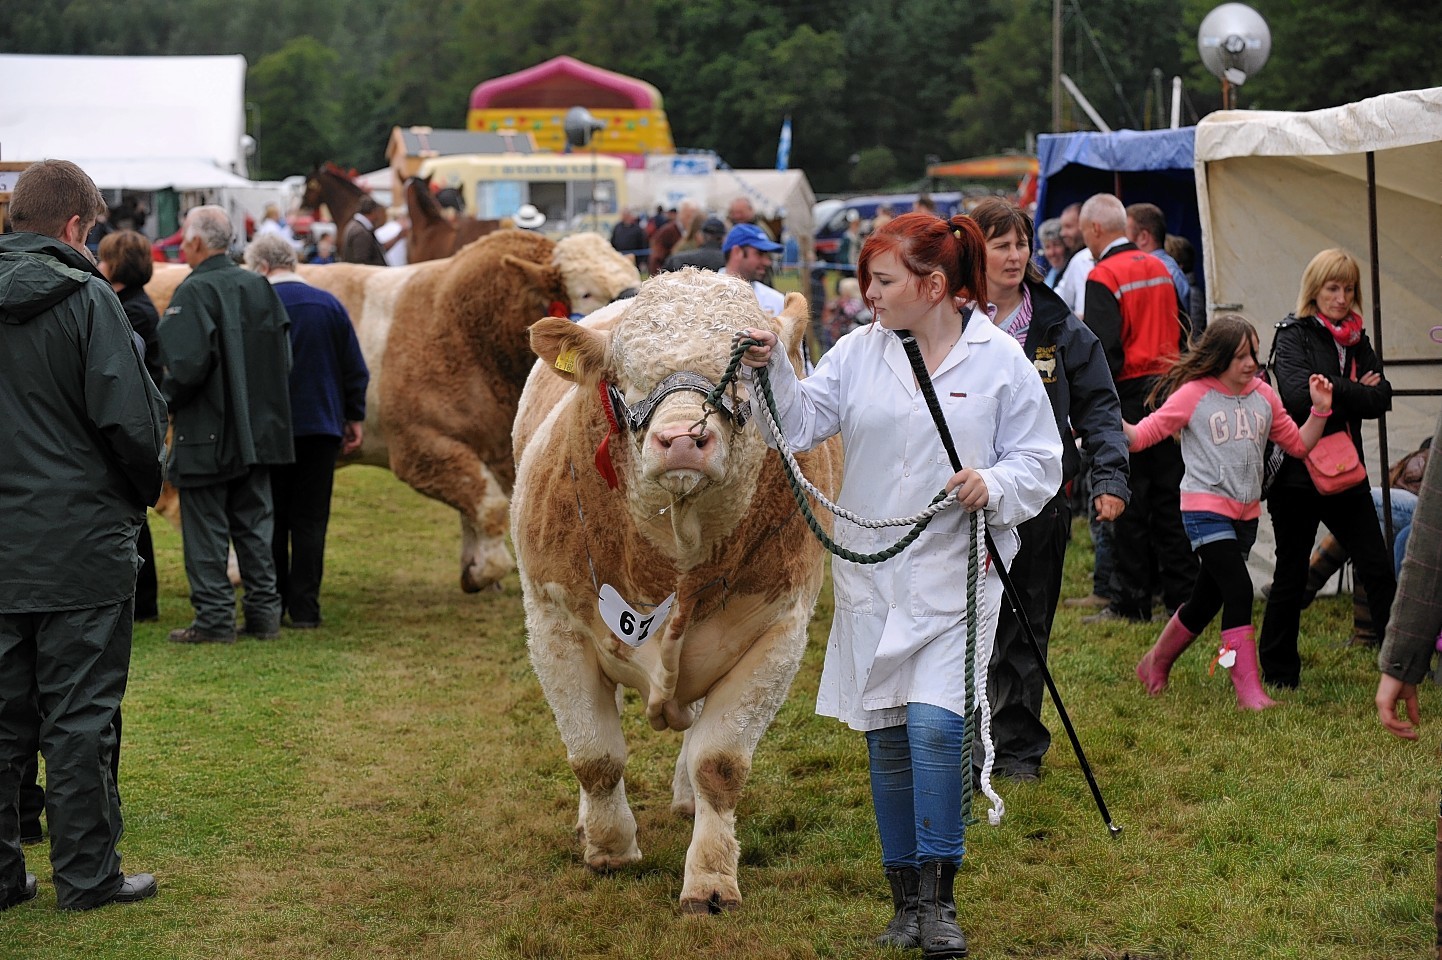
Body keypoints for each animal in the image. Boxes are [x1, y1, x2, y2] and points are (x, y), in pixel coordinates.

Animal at [149, 232, 640, 590]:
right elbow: (488, 506)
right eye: (587, 292)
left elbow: (478, 504)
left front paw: (473, 564)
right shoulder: (418, 447)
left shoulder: (492, 445)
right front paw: (484, 570)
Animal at [513, 270, 842, 910]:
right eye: (621, 375)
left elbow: (720, 763)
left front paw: (711, 878)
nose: (683, 440)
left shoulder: (779, 633)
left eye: (745, 371)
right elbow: (594, 755)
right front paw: (609, 847)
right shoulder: (552, 623)